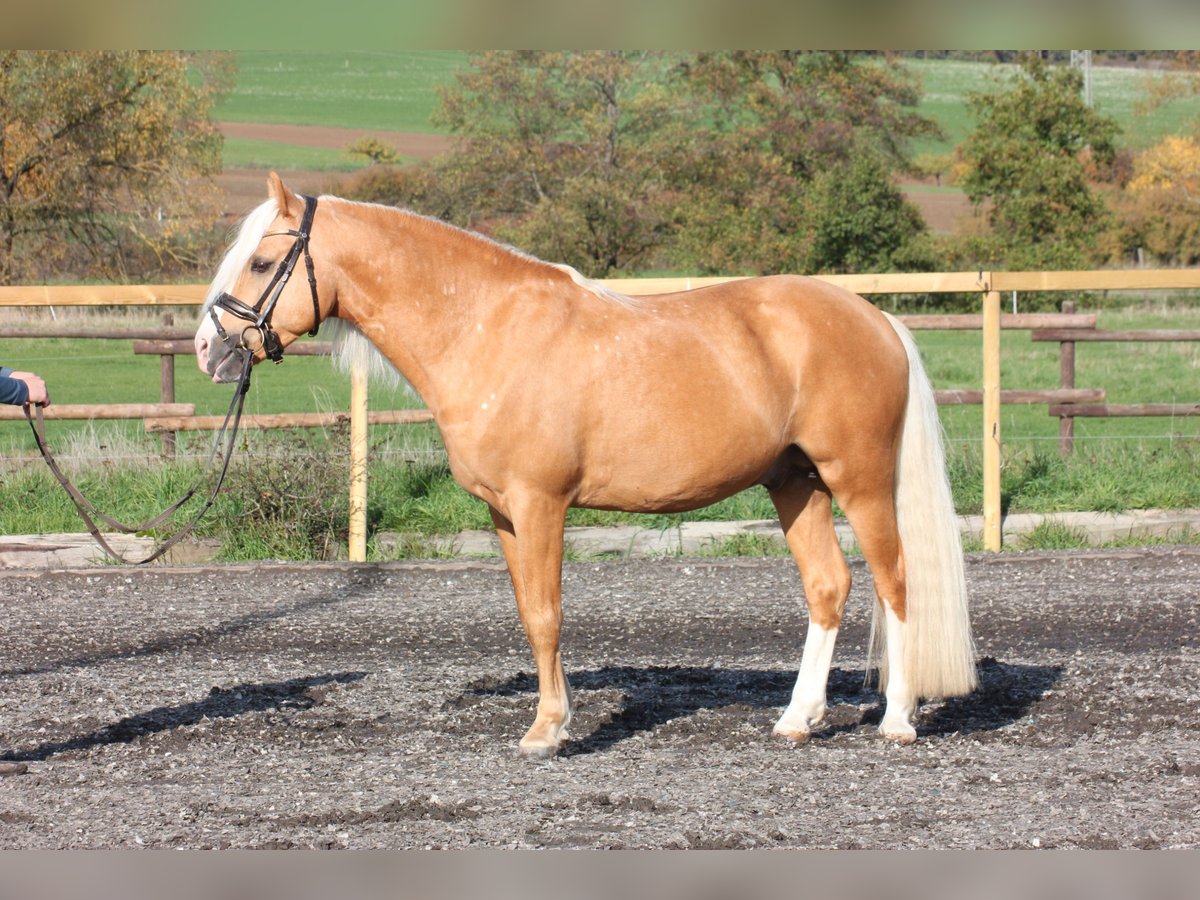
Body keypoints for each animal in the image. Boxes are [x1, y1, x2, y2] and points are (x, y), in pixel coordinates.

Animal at [199, 172, 974, 758]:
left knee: (896, 581)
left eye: (261, 263)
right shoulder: (503, 512)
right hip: (794, 482)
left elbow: (547, 614)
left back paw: (897, 721)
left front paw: (548, 731)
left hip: (860, 479)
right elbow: (526, 610)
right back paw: (796, 720)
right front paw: (554, 715)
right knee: (828, 586)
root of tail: (877, 319)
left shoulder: (541, 502)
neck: (485, 328)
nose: (210, 350)